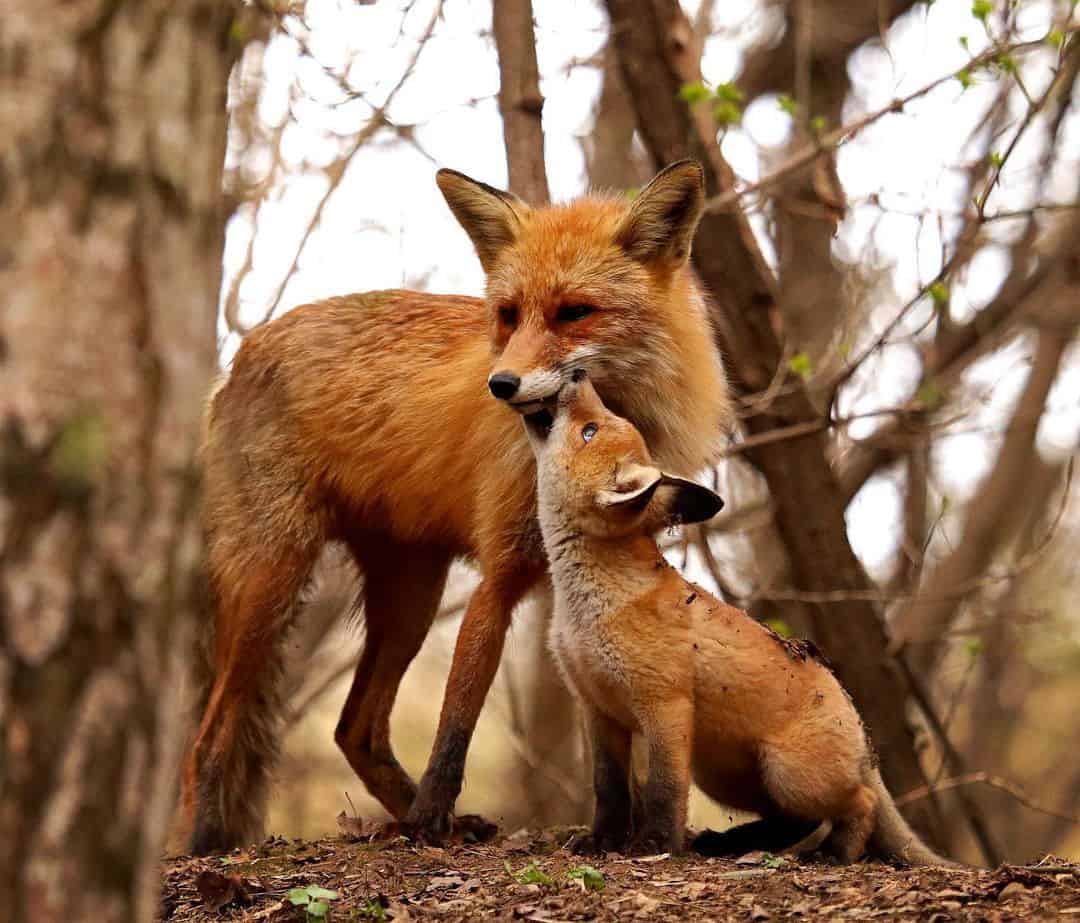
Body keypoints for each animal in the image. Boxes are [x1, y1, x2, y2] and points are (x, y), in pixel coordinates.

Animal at [180, 160, 733, 853]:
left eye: (574, 313)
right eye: (508, 315)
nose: (501, 385)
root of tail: (240, 357)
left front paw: (622, 825)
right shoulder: (499, 573)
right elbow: (458, 717)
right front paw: (429, 822)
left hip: (409, 597)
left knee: (353, 730)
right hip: (271, 585)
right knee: (208, 739)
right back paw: (207, 843)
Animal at [522, 371, 952, 866]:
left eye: (589, 430)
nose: (578, 375)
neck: (585, 606)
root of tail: (865, 740)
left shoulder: (665, 707)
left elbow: (665, 791)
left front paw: (655, 847)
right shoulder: (598, 709)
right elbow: (609, 790)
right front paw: (602, 842)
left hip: (787, 774)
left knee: (856, 803)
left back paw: (833, 852)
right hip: (726, 777)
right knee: (794, 821)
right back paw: (733, 843)